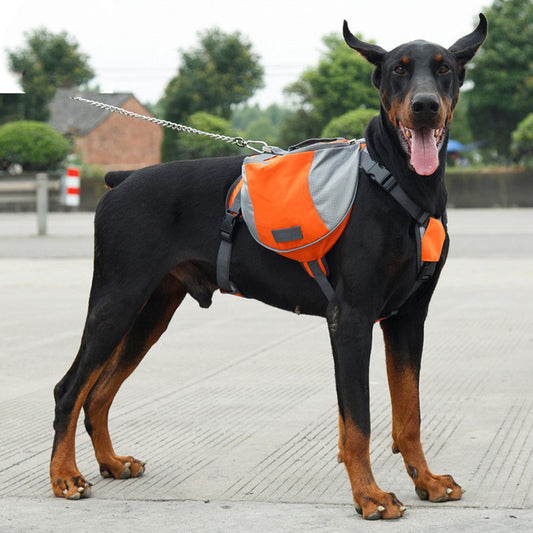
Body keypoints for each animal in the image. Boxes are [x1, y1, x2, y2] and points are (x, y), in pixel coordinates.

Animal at [51, 14, 486, 516]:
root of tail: (120, 180)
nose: (424, 106)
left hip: (151, 311)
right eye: (398, 69)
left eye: (444, 67)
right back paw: (65, 476)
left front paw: (427, 481)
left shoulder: (409, 317)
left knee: (98, 393)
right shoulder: (351, 318)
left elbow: (409, 413)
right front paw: (369, 496)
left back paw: (111, 462)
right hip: (117, 300)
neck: (398, 182)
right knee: (70, 389)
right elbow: (357, 421)